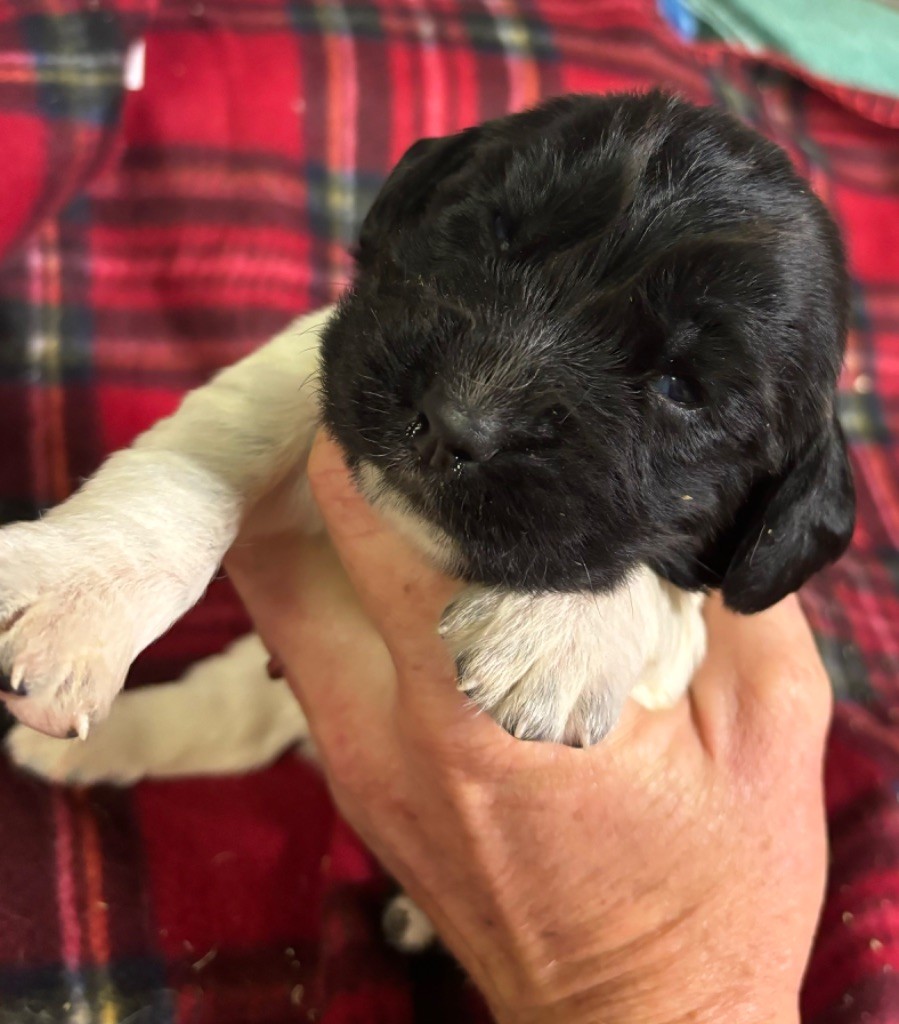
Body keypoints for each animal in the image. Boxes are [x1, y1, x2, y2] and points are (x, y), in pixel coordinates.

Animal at [3, 92, 855, 782]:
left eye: (682, 389)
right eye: (491, 234)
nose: (454, 424)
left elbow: (659, 580)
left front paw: (564, 629)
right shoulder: (328, 366)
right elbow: (212, 452)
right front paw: (76, 596)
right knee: (219, 716)